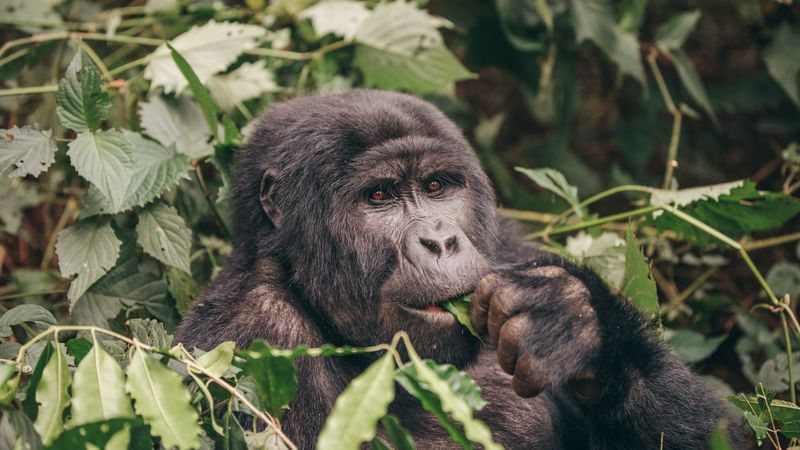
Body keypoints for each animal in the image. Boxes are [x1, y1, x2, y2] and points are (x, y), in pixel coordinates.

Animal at [176, 90, 746, 449]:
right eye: (379, 196)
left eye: (437, 187)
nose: (441, 240)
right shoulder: (254, 336)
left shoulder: (508, 247)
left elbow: (725, 433)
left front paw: (577, 321)